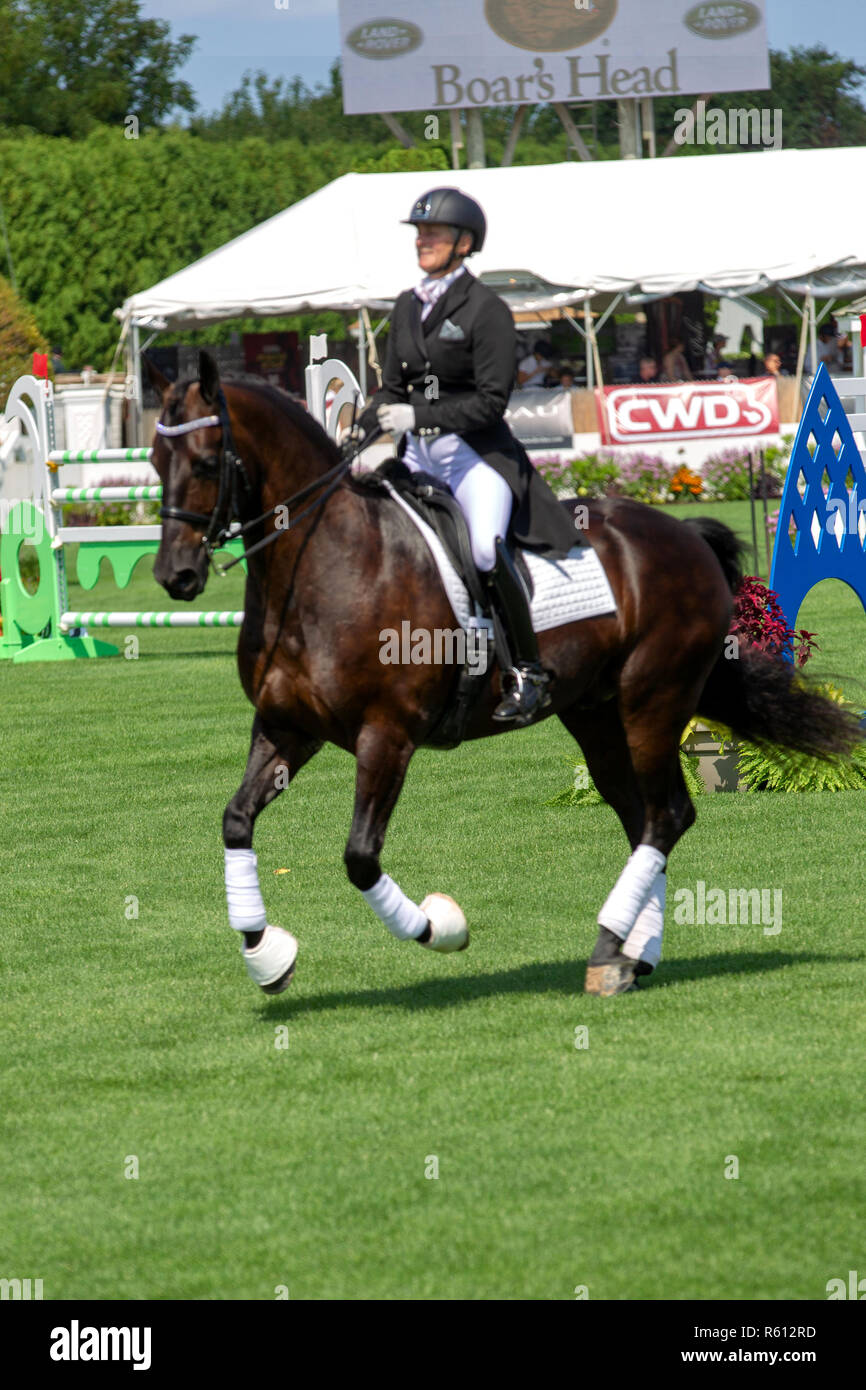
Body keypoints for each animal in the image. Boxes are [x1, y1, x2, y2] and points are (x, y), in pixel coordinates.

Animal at [146, 351, 860, 996]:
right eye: (155, 463)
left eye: (206, 462)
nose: (175, 577)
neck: (324, 565)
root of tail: (684, 535)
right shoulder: (286, 727)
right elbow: (236, 821)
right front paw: (266, 955)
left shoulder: (387, 736)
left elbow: (359, 857)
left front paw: (441, 927)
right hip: (596, 714)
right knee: (641, 817)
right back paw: (633, 955)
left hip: (652, 702)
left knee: (667, 816)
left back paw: (610, 949)